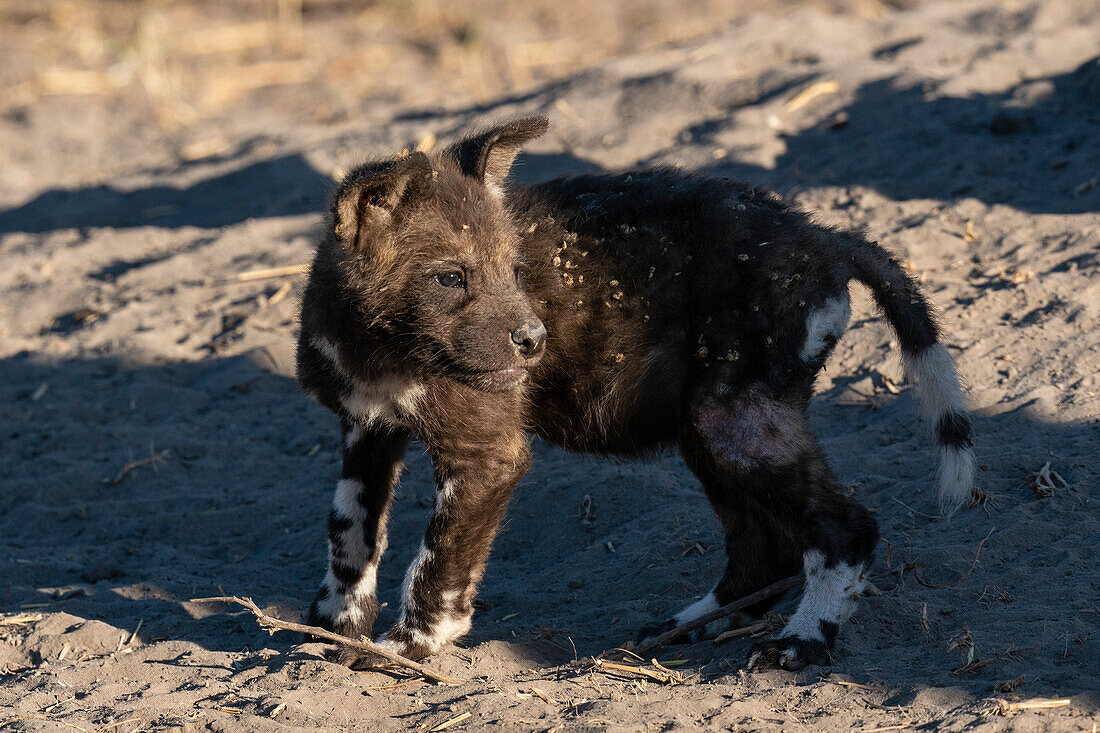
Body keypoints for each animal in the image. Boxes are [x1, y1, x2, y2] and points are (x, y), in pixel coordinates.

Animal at [297, 115, 976, 669]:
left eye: (514, 272)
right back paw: (698, 622)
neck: (377, 346)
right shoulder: (367, 428)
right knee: (766, 548)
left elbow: (437, 563)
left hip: (734, 423)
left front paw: (407, 647)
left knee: (844, 528)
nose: (534, 339)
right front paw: (334, 624)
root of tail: (818, 234)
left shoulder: (485, 457)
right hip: (710, 431)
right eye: (449, 279)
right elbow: (349, 531)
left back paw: (802, 640)